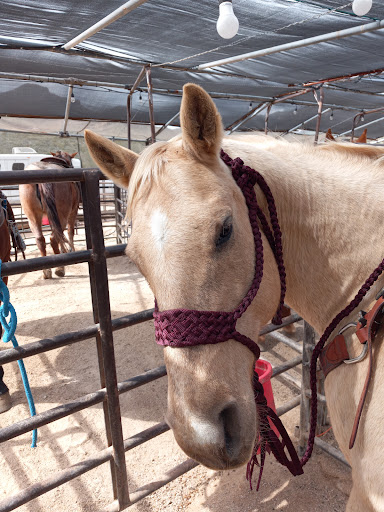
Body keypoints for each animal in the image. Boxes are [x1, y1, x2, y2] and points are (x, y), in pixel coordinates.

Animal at [19, 152, 80, 280]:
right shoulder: (73, 212)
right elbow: (70, 232)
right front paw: (70, 250)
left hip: (33, 217)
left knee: (40, 239)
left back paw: (46, 271)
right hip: (62, 216)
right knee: (54, 238)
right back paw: (60, 269)